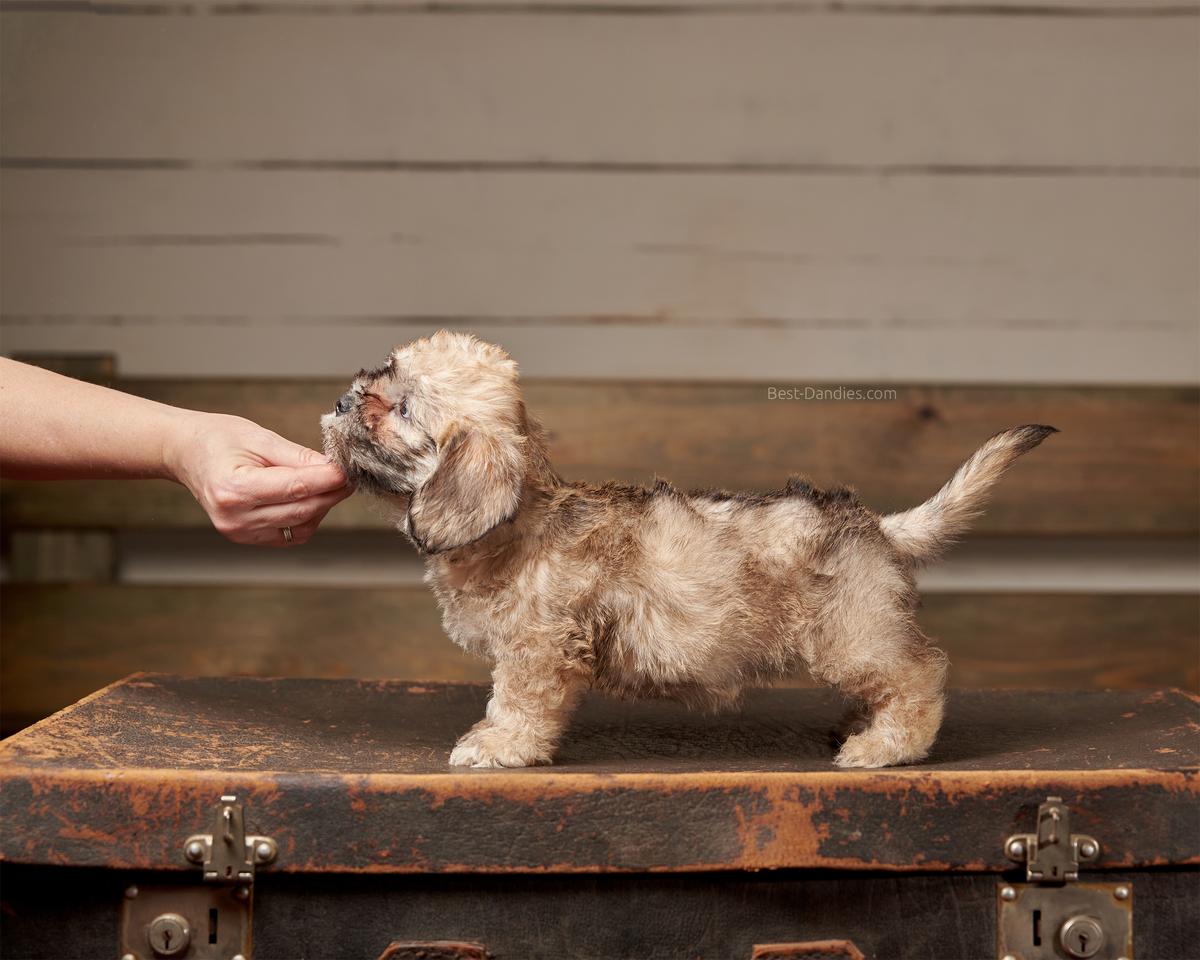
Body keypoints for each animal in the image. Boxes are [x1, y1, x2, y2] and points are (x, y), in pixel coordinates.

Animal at [321, 333, 1060, 768]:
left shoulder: (538, 652)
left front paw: (498, 746)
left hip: (854, 635)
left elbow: (518, 704)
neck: (520, 521)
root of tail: (876, 525)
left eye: (404, 409)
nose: (340, 401)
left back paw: (883, 747)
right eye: (381, 376)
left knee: (921, 675)